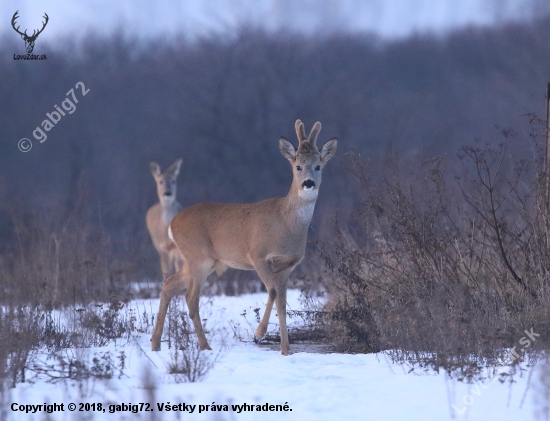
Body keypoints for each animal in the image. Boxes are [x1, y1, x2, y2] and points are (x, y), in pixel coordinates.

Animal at [150, 120, 336, 352]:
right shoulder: (258, 255)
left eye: (318, 166)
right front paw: (258, 335)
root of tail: (172, 224)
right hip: (198, 257)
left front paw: (286, 350)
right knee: (190, 297)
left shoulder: (288, 266)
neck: (286, 222)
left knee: (169, 285)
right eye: (298, 166)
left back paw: (156, 343)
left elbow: (282, 304)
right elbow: (272, 292)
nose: (308, 183)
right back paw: (205, 346)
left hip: (200, 260)